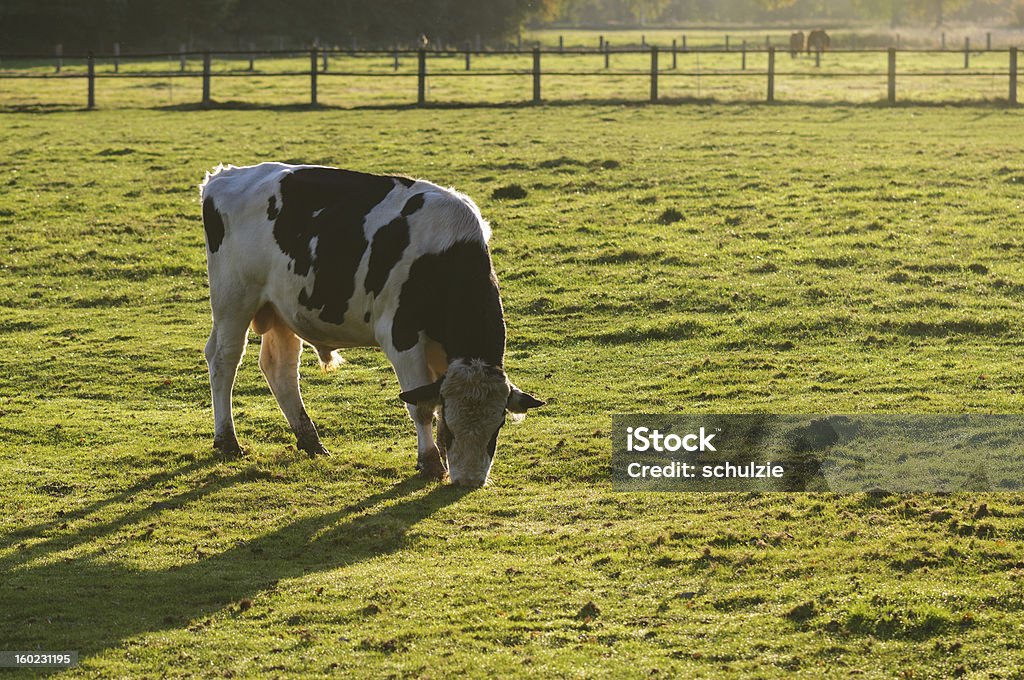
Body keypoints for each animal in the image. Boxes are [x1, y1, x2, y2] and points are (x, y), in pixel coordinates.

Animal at [198, 161, 544, 485]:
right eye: (453, 427)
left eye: (497, 426)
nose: (469, 480)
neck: (446, 255)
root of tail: (226, 175)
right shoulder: (400, 335)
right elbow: (421, 405)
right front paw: (431, 463)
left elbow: (431, 397)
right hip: (234, 300)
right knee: (224, 360)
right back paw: (227, 441)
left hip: (282, 308)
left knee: (279, 368)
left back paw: (311, 442)